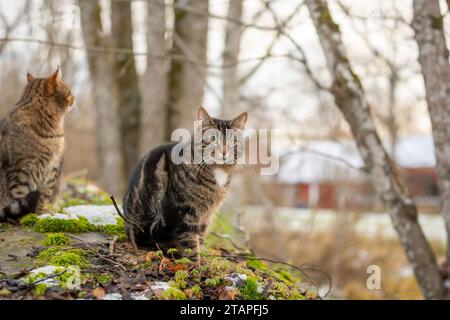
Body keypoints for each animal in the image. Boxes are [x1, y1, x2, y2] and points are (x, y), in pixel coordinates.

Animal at [0, 68, 74, 222]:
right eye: (69, 92)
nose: (75, 98)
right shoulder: (20, 169)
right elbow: (20, 194)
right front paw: (26, 216)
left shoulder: (51, 170)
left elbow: (44, 196)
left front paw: (42, 213)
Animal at [123, 106, 248, 258]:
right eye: (212, 139)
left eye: (233, 141)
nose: (224, 152)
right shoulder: (184, 211)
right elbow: (190, 243)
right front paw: (194, 262)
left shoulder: (206, 215)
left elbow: (200, 237)